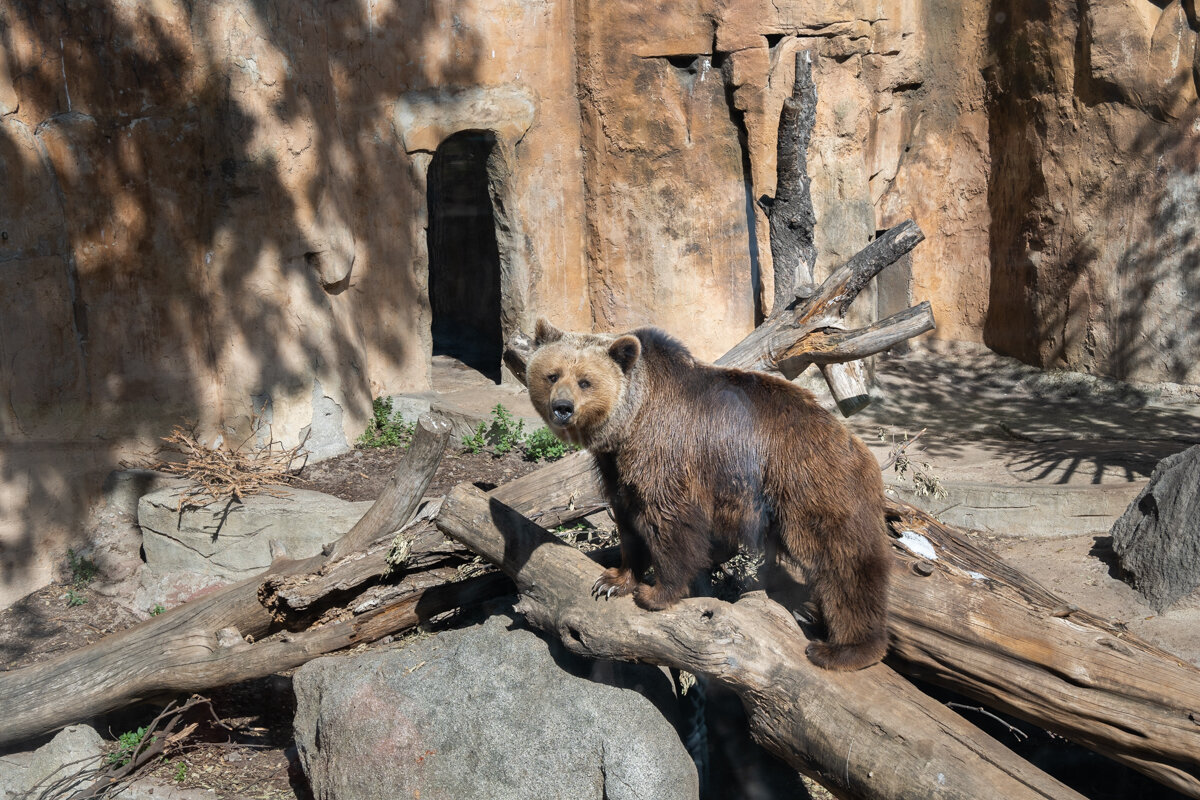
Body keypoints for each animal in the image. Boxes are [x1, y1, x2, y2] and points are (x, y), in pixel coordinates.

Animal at [528, 316, 892, 671]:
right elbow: (628, 522)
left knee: (842, 560)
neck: (629, 424)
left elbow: (668, 521)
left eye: (585, 381)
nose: (563, 407)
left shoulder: (665, 448)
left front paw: (656, 593)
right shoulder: (615, 468)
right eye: (552, 374)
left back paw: (844, 648)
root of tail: (858, 447)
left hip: (808, 484)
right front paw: (613, 581)